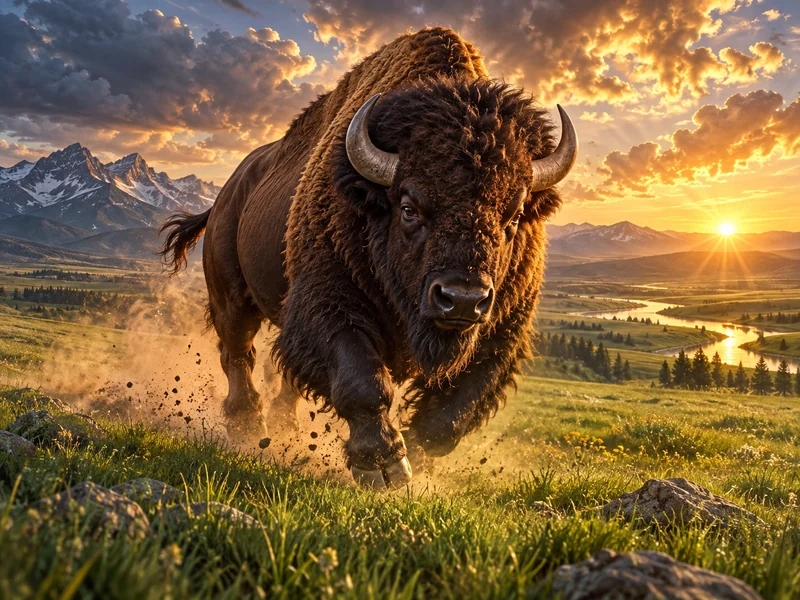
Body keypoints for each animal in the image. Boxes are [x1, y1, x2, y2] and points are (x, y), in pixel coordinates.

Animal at [160, 27, 578, 490]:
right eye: (409, 207)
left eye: (515, 214)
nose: (462, 298)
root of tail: (226, 194)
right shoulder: (330, 304)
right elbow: (361, 381)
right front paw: (383, 466)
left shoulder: (498, 333)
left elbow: (449, 417)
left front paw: (416, 463)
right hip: (232, 295)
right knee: (238, 353)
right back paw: (248, 428)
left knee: (280, 373)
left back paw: (282, 426)